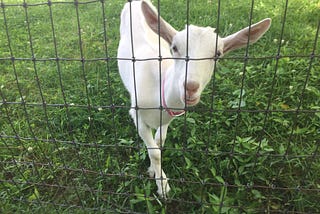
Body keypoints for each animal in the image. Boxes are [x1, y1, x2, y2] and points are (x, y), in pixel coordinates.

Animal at [117, 0, 270, 197]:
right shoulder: (137, 115)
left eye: (218, 54)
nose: (190, 87)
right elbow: (154, 153)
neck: (160, 87)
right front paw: (163, 186)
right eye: (174, 48)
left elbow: (159, 142)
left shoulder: (166, 119)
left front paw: (153, 171)